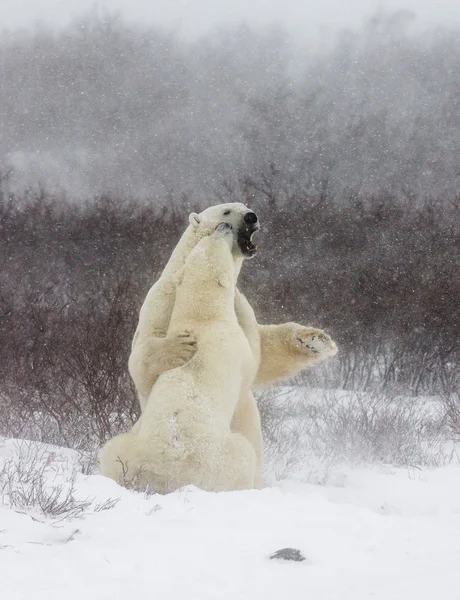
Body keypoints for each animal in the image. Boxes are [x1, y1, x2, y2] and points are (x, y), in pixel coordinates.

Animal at [100, 225, 256, 492]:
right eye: (218, 239)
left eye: (208, 239)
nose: (224, 227)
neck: (202, 317)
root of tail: (165, 478)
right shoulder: (235, 346)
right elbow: (252, 364)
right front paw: (239, 297)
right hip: (223, 460)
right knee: (245, 454)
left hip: (127, 452)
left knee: (111, 450)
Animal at [124, 204, 336, 490]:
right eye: (226, 211)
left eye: (246, 206)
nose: (251, 217)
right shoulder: (161, 303)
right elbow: (142, 362)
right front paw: (177, 347)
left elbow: (263, 356)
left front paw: (316, 341)